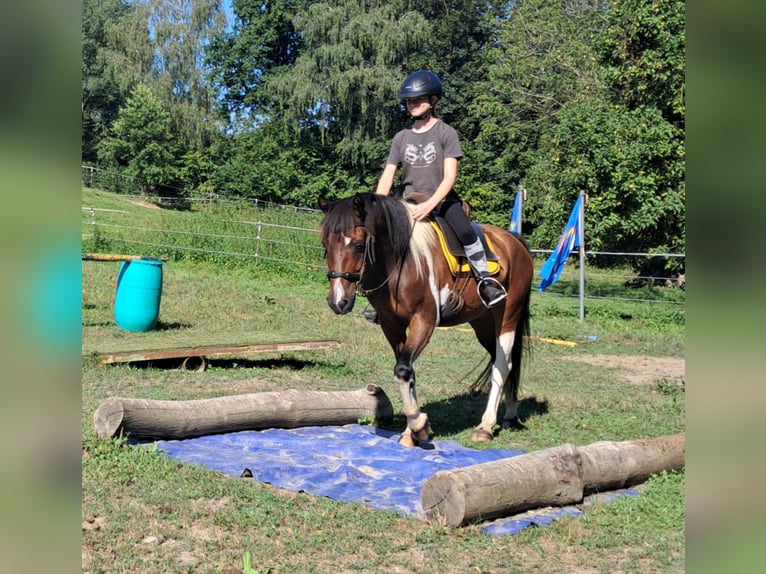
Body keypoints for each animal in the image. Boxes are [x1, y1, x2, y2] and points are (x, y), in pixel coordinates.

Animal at [320, 194, 536, 450]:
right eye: (325, 245)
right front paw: (412, 431)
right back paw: (510, 414)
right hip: (482, 322)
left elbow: (403, 369)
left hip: (508, 316)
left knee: (503, 365)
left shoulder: (424, 321)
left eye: (359, 245)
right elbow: (407, 372)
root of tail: (514, 241)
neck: (402, 262)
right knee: (503, 360)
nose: (338, 301)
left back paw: (486, 426)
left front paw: (419, 426)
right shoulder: (392, 326)